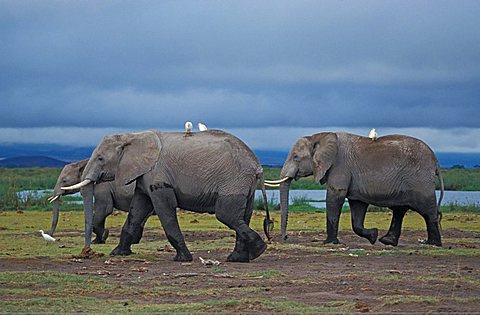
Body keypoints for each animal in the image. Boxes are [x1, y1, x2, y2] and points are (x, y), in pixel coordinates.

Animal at [62, 130, 272, 262]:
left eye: (100, 158)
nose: (87, 251)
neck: (133, 136)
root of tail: (257, 166)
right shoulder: (143, 175)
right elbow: (138, 210)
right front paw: (118, 254)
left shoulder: (158, 175)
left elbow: (164, 209)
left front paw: (182, 259)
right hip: (244, 184)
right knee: (242, 215)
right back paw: (239, 258)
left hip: (233, 180)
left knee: (227, 215)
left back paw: (258, 249)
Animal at [266, 132, 442, 248]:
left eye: (296, 157)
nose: (285, 238)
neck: (319, 137)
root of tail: (436, 162)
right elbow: (357, 208)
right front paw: (373, 235)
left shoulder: (340, 166)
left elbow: (334, 197)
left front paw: (329, 243)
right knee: (400, 210)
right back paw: (387, 241)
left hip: (420, 181)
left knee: (427, 211)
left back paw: (433, 244)